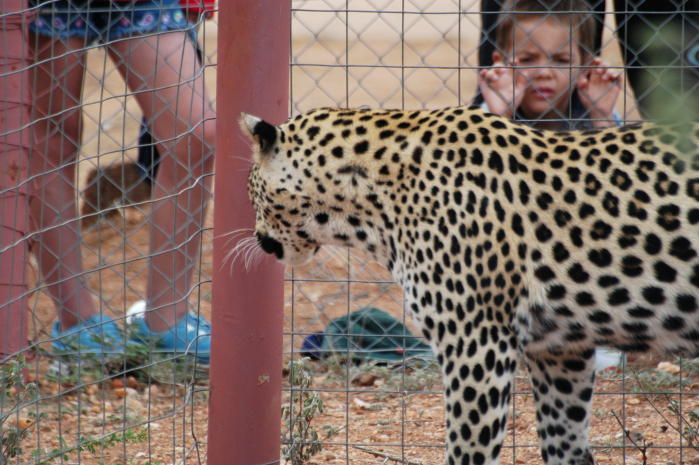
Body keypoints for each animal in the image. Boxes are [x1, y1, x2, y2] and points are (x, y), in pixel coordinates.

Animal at [242, 105, 699, 464]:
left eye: (252, 194)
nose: (258, 238)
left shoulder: (476, 343)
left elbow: (467, 449)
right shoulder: (560, 350)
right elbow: (563, 441)